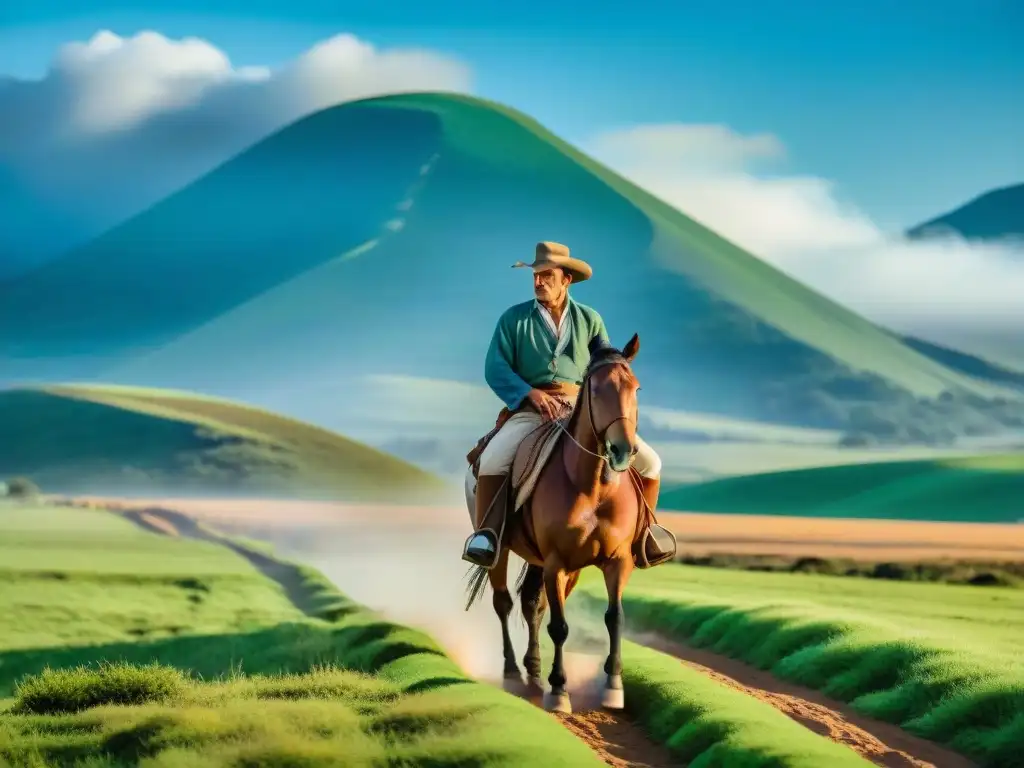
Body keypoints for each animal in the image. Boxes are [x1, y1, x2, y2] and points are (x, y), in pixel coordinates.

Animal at [464, 333, 647, 720]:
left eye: (636, 388)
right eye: (596, 390)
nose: (623, 450)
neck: (593, 484)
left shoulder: (615, 561)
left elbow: (615, 618)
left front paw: (613, 687)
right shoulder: (556, 562)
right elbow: (560, 627)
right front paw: (559, 691)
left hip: (553, 565)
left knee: (532, 605)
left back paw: (534, 673)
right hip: (501, 550)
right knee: (503, 603)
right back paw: (513, 673)